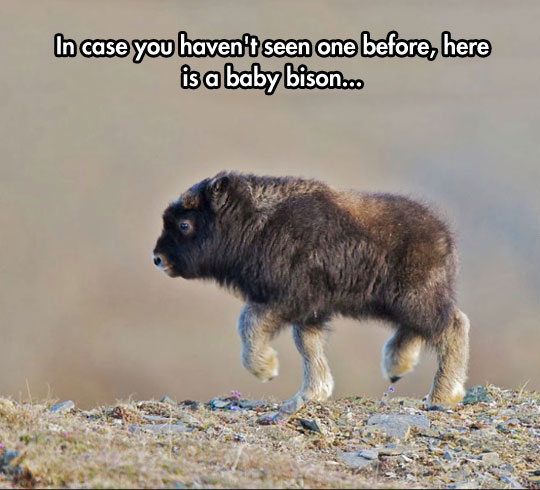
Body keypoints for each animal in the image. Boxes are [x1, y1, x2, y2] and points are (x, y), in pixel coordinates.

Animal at [152, 172, 468, 414]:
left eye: (185, 224)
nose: (158, 258)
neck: (256, 224)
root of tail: (444, 236)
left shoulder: (288, 298)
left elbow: (249, 322)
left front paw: (265, 369)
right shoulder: (309, 310)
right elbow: (307, 344)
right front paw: (312, 393)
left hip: (416, 298)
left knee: (453, 325)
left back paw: (443, 395)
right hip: (403, 302)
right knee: (416, 329)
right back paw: (396, 366)